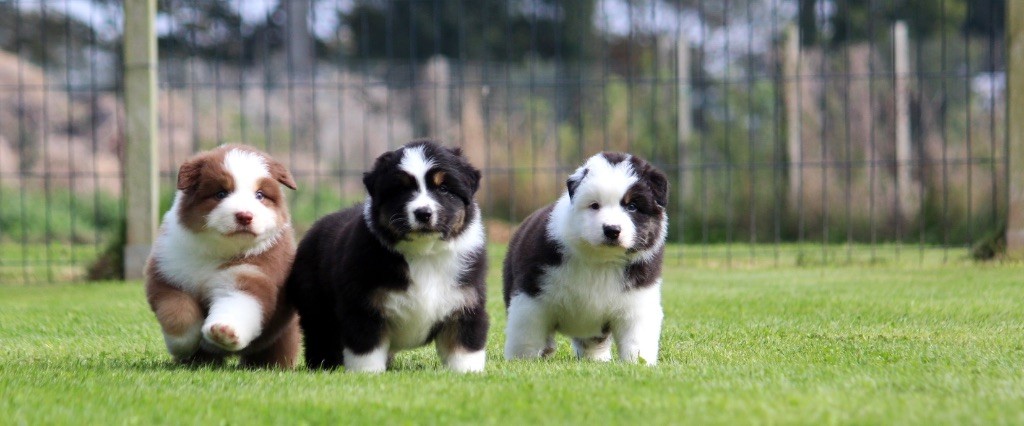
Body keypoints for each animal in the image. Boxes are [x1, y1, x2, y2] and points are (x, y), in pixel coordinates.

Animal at [146, 145, 301, 366]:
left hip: (281, 336)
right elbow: (177, 313)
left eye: (260, 195)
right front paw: (183, 345)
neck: (216, 251)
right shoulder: (168, 274)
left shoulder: (252, 275)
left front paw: (224, 332)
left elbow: (236, 304)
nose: (244, 216)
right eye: (221, 193)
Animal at [286, 139, 489, 372]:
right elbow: (367, 351)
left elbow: (464, 349)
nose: (423, 213)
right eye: (401, 190)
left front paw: (468, 373)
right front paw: (367, 374)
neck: (424, 255)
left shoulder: (466, 303)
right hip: (316, 306)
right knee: (320, 338)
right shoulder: (363, 307)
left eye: (444, 188)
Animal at [501, 151, 663, 364]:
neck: (600, 261)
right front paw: (521, 361)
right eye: (594, 205)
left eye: (632, 206)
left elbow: (637, 338)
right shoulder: (532, 295)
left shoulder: (637, 299)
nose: (612, 230)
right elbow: (527, 333)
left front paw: (638, 363)